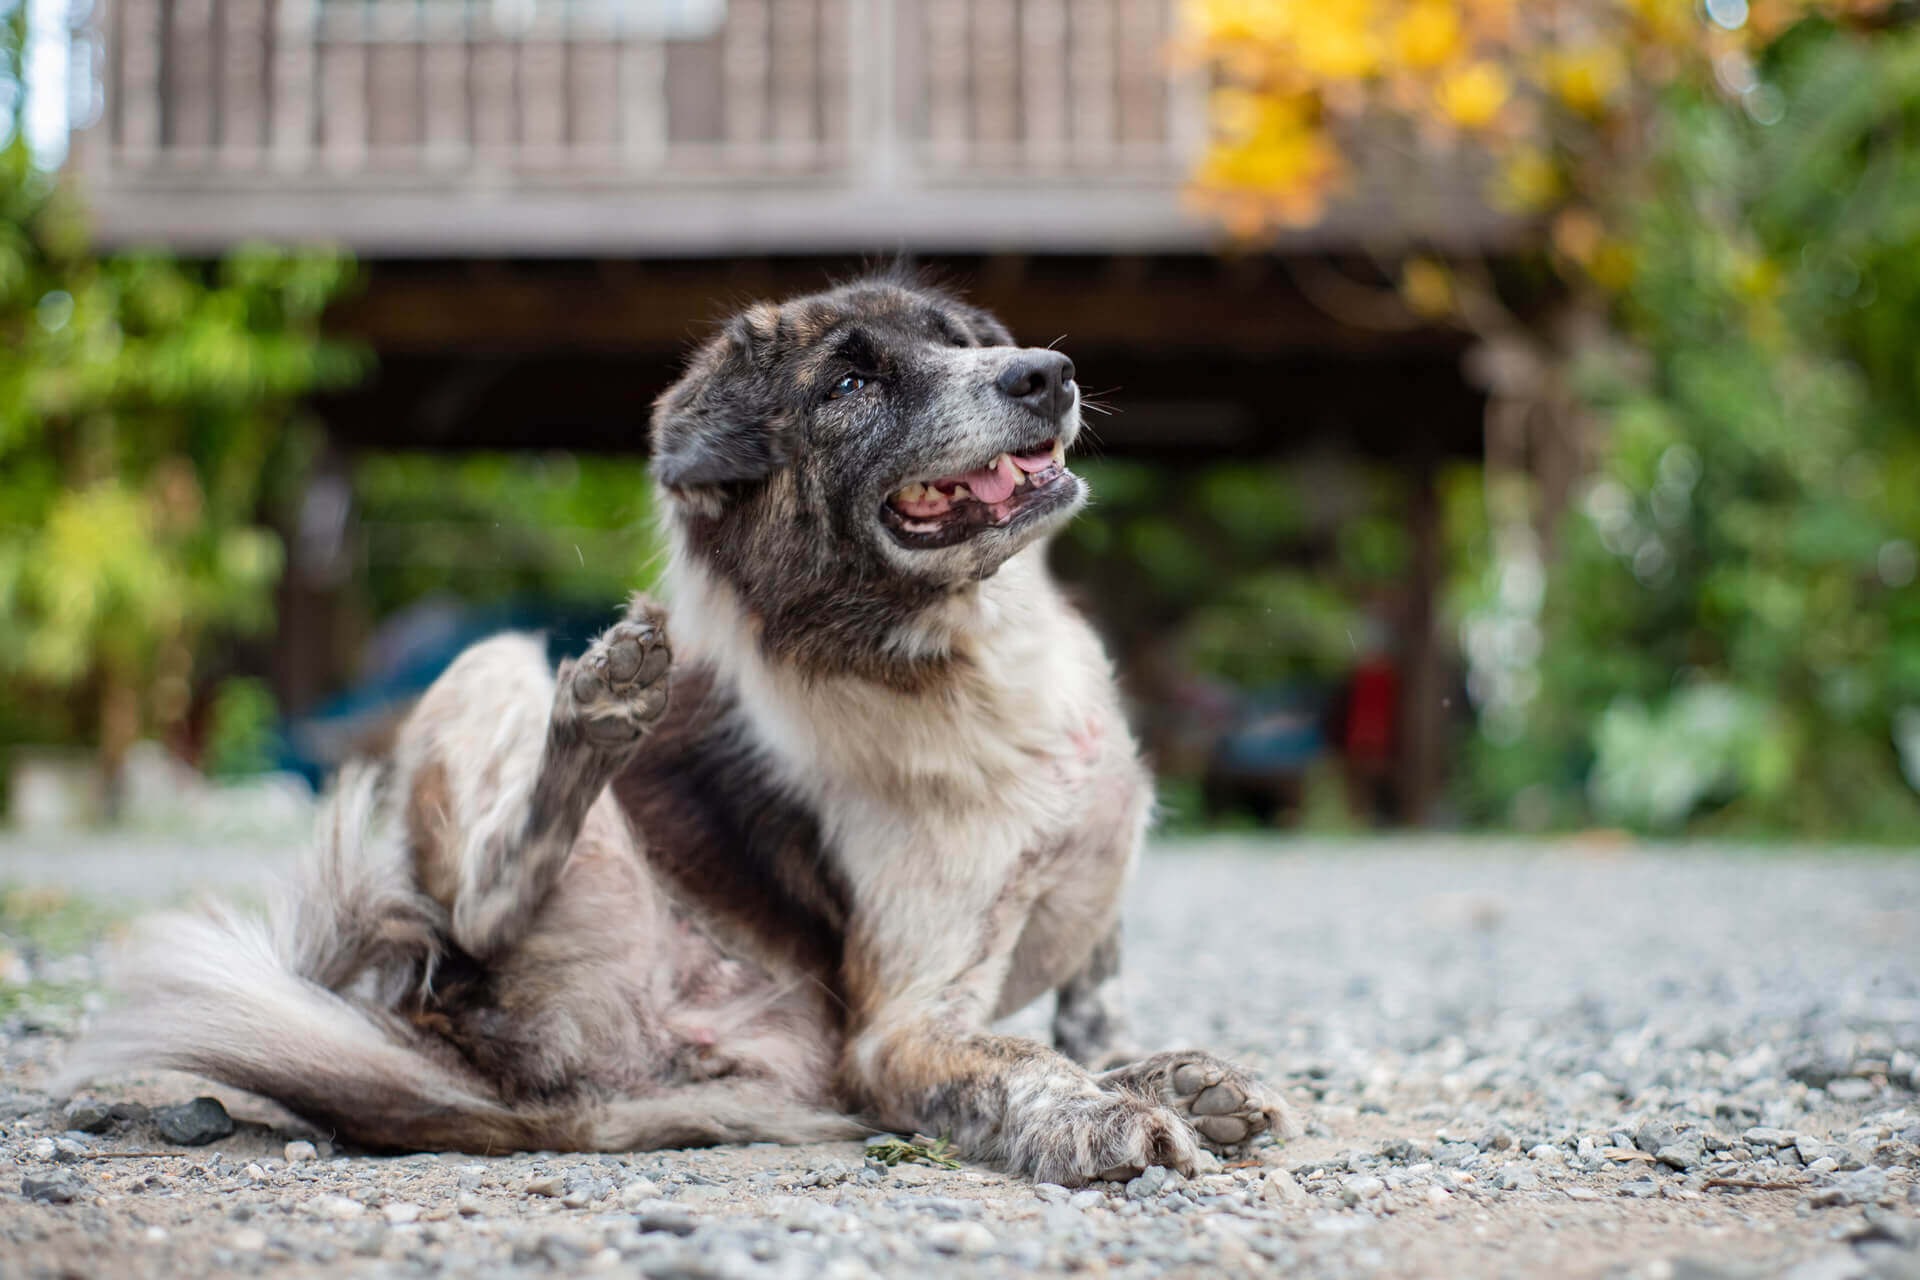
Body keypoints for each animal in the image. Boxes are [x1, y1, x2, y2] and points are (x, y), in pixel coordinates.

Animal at [63, 276, 1290, 1189]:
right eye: (850, 381)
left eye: (965, 344)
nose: (1044, 372)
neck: (962, 646)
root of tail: (479, 1056)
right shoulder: (900, 1022)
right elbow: (1018, 1056)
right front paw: (1107, 1112)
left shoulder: (1094, 905)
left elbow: (1094, 1007)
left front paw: (1160, 1072)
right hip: (494, 674)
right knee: (480, 894)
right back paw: (599, 708)